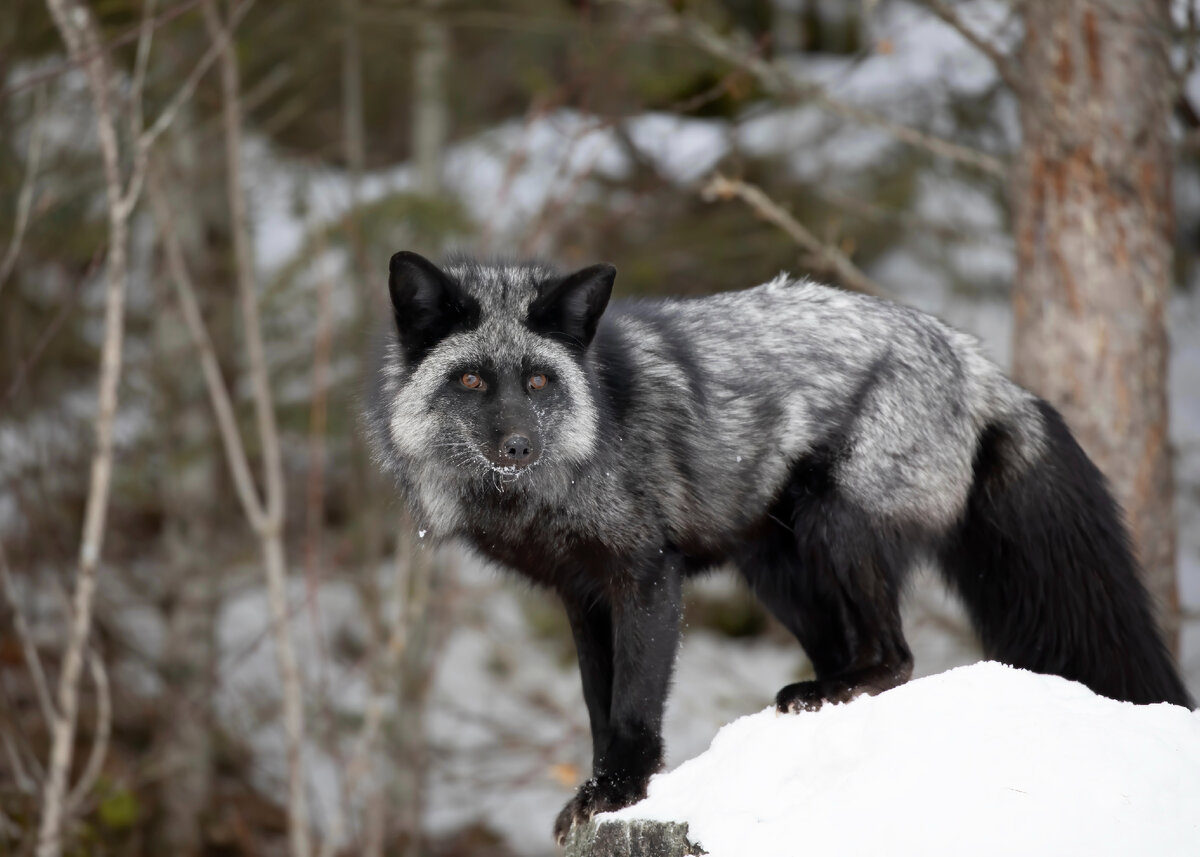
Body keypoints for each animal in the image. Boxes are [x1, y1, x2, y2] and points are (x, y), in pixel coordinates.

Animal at [367, 248, 1190, 840]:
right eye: (472, 380)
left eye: (539, 382)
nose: (517, 446)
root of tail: (977, 361)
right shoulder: (581, 592)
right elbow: (598, 706)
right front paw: (601, 790)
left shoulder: (645, 573)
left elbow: (632, 706)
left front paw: (620, 792)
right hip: (779, 574)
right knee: (854, 653)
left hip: (837, 527)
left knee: (896, 656)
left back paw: (836, 689)